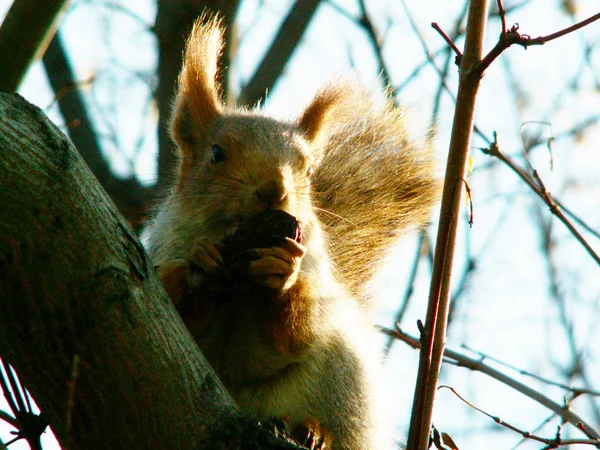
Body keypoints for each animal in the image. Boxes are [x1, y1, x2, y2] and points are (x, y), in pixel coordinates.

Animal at [145, 14, 436, 450]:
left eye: (307, 169)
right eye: (216, 154)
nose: (274, 190)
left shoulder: (313, 266)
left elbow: (296, 333)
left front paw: (281, 273)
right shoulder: (164, 250)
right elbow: (177, 305)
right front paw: (201, 267)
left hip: (344, 382)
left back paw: (314, 431)